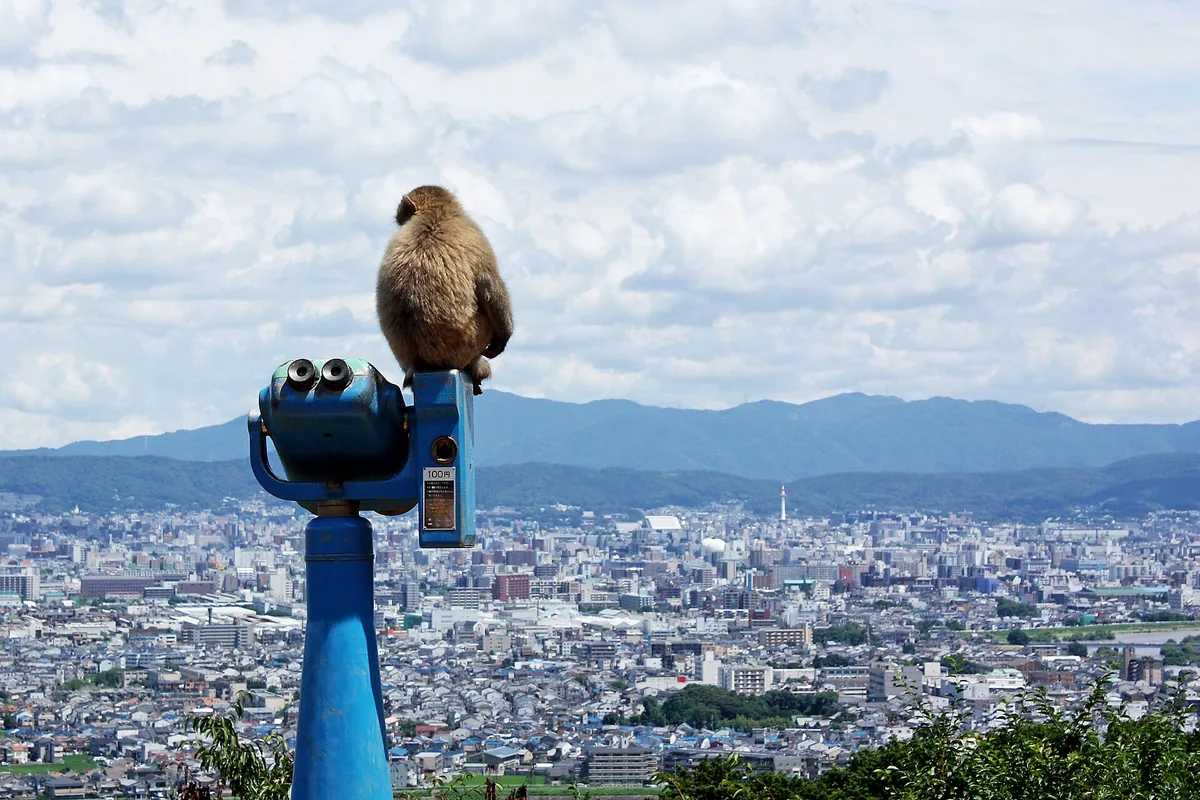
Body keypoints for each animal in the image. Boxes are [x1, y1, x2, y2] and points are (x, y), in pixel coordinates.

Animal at [375, 185, 513, 396]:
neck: (435, 212)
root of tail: (422, 363)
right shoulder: (476, 235)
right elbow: (490, 284)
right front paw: (503, 338)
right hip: (471, 340)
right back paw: (478, 370)